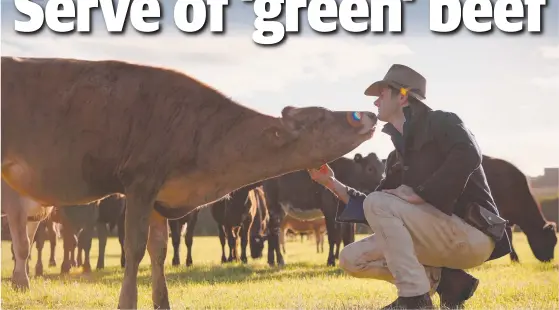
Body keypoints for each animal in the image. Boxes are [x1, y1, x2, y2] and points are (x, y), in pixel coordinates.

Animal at [1, 57, 376, 308]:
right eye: (329, 116)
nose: (370, 113)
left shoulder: (160, 197)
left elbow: (159, 250)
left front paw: (162, 302)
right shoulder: (140, 183)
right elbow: (135, 248)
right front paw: (127, 302)